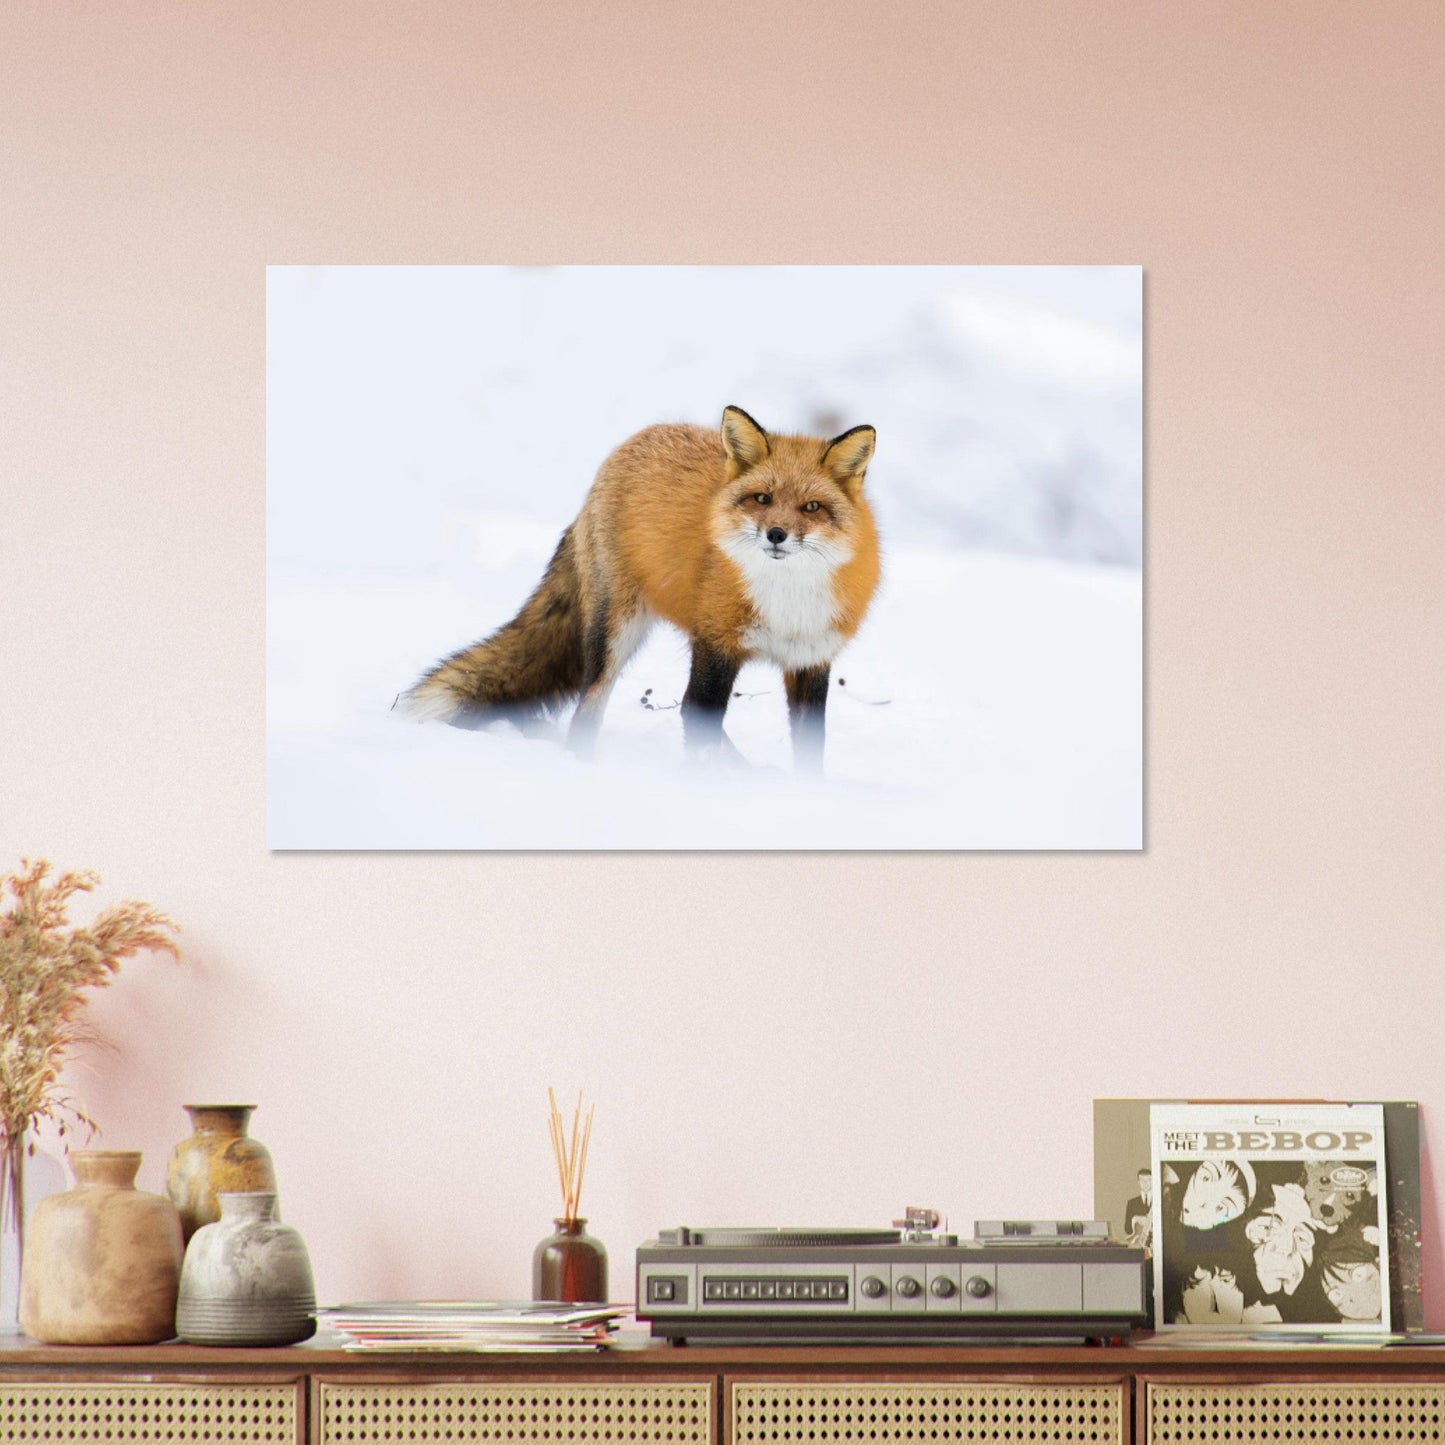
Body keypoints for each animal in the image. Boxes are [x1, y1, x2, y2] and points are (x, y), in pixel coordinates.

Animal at [398, 406, 880, 768]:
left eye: (812, 507)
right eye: (762, 499)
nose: (776, 534)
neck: (787, 602)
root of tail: (633, 440)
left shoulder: (811, 659)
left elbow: (809, 752)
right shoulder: (715, 646)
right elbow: (698, 721)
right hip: (614, 634)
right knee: (588, 710)